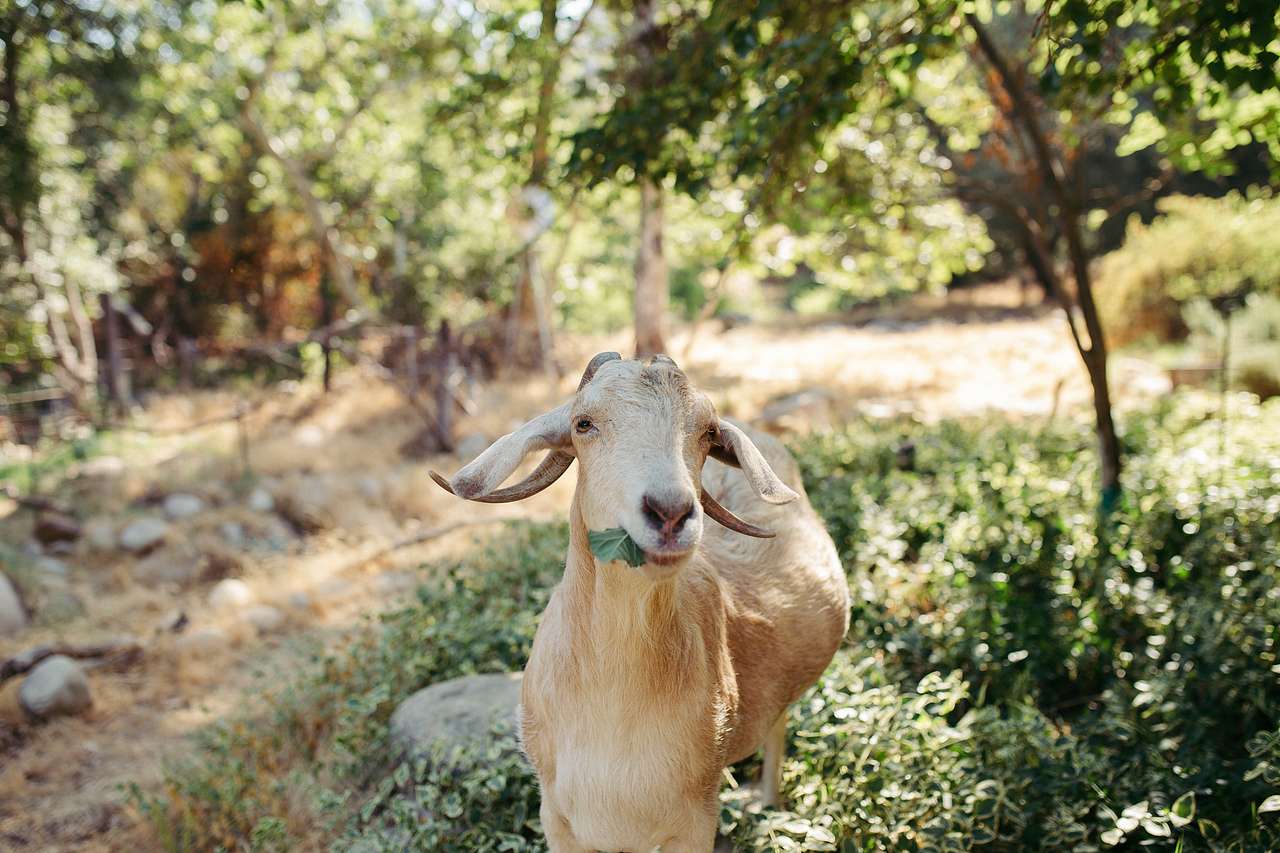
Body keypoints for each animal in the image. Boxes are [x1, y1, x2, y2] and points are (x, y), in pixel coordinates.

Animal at [431, 352, 849, 852]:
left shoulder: (694, 819)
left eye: (708, 431)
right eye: (583, 423)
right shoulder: (557, 817)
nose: (670, 512)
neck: (611, 701)